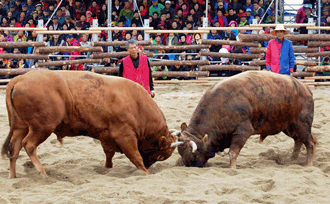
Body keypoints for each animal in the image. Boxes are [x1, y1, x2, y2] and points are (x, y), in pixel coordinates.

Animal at [1, 70, 179, 178]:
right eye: (161, 155)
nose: (150, 166)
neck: (136, 103)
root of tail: (19, 78)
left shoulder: (105, 135)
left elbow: (109, 153)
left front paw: (107, 168)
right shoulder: (125, 135)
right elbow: (135, 156)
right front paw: (145, 172)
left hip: (21, 127)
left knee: (15, 147)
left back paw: (13, 175)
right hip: (42, 128)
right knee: (29, 145)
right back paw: (42, 172)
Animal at [174, 71, 316, 168]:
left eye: (193, 154)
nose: (190, 165)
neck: (222, 105)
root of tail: (305, 88)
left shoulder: (243, 131)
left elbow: (232, 152)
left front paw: (232, 168)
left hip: (302, 124)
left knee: (310, 143)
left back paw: (308, 164)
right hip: (288, 126)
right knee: (298, 140)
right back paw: (293, 159)